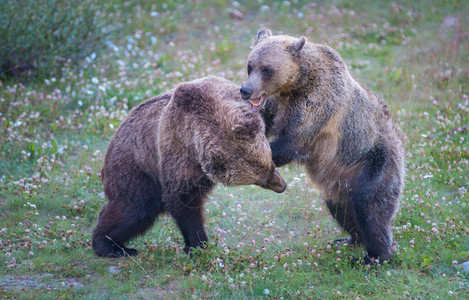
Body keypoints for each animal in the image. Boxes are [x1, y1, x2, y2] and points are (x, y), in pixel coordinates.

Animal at [92, 75, 286, 258]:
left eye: (271, 164)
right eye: (260, 181)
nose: (282, 186)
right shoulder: (180, 151)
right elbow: (184, 201)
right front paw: (198, 245)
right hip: (136, 166)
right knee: (136, 208)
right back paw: (111, 245)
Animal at [239, 28, 404, 262]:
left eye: (267, 69)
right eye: (250, 65)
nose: (245, 90)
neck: (294, 86)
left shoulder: (317, 101)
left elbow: (292, 142)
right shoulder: (275, 106)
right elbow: (262, 125)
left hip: (373, 161)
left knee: (370, 207)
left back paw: (375, 257)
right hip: (340, 180)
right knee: (340, 208)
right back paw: (350, 239)